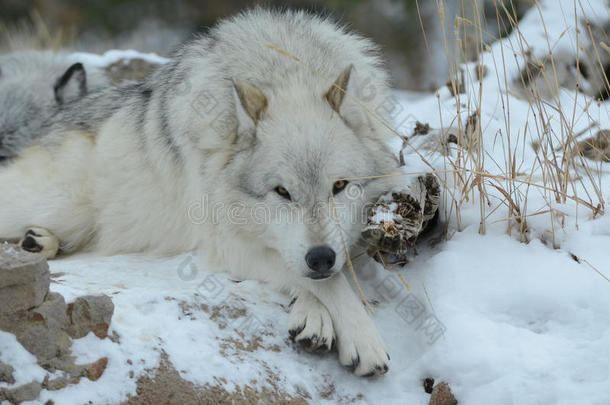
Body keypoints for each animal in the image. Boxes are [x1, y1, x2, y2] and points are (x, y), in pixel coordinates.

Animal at [2, 8, 402, 376]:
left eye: (339, 186)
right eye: (281, 191)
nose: (320, 257)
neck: (285, 74)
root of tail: (52, 120)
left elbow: (323, 277)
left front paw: (314, 317)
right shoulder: (227, 244)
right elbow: (329, 284)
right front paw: (361, 337)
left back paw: (38, 242)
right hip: (63, 205)